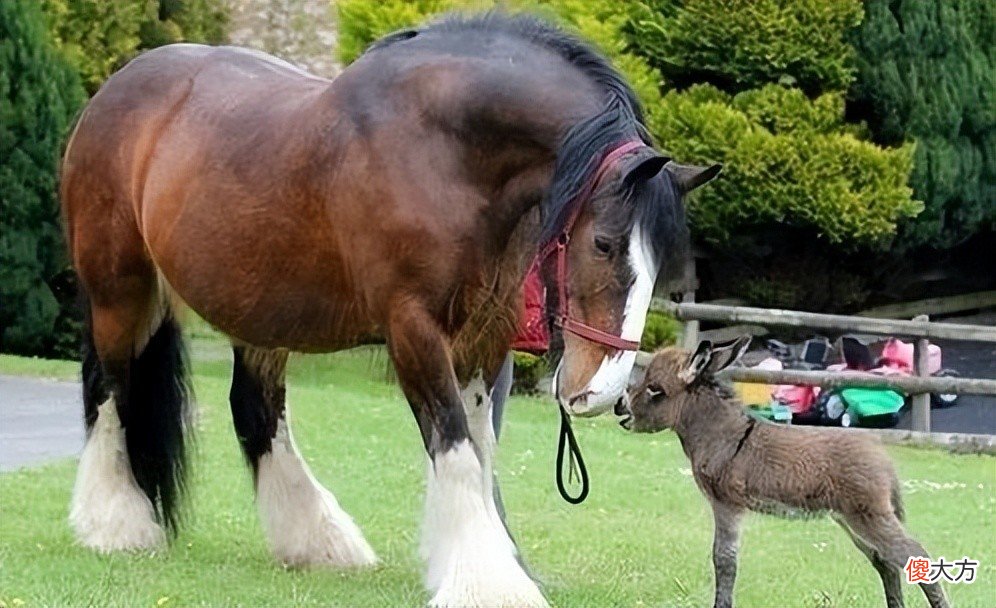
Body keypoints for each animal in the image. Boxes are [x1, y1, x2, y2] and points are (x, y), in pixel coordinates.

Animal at [60, 13, 719, 607]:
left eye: (661, 265)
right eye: (603, 244)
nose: (598, 391)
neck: (444, 152)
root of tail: (116, 90)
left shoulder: (483, 337)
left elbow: (480, 450)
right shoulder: (413, 330)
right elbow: (454, 446)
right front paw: (488, 583)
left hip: (258, 310)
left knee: (255, 408)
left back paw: (317, 540)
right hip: (120, 291)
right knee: (110, 390)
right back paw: (115, 524)